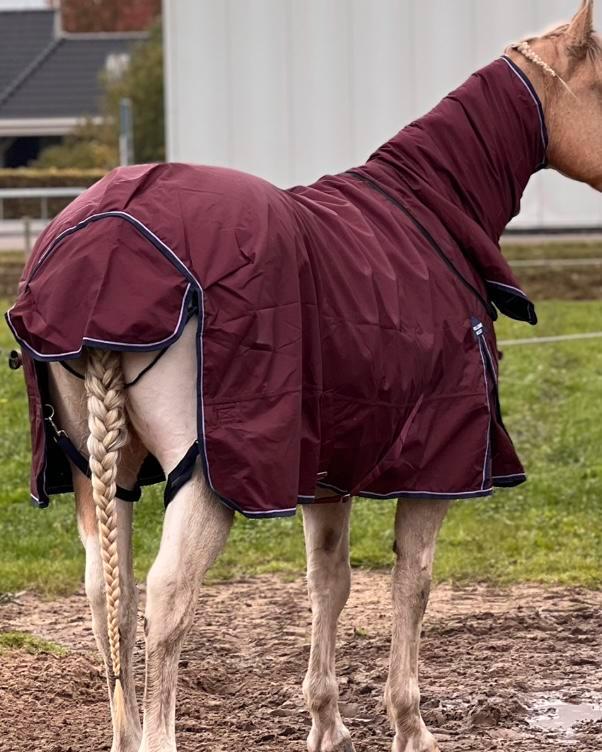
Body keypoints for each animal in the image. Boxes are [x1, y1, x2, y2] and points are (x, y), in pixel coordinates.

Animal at [6, 2, 601, 751]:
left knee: (108, 592)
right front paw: (410, 726)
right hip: (205, 480)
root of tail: (99, 244)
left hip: (97, 472)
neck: (428, 214)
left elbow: (329, 584)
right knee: (166, 597)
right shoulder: (435, 472)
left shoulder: (326, 474)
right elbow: (413, 584)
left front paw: (327, 724)